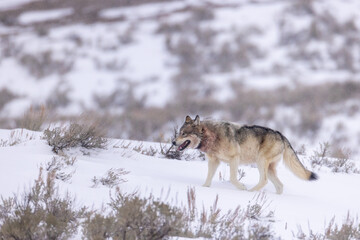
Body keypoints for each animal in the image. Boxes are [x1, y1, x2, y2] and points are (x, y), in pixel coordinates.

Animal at [173, 115, 316, 194]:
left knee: (264, 181)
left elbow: (232, 178)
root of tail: (281, 134)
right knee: (279, 186)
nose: (173, 142)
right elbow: (208, 179)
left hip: (260, 162)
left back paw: (250, 192)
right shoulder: (214, 161)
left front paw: (242, 188)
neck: (211, 136)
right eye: (179, 132)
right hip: (269, 168)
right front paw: (203, 188)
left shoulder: (234, 158)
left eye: (184, 134)